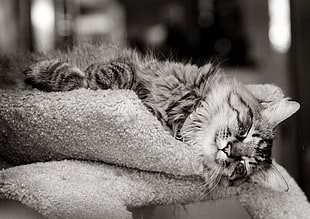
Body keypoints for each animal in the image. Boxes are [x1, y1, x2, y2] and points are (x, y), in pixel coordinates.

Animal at [21, 44, 300, 192]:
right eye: (244, 129)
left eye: (241, 166)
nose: (229, 150)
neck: (186, 114)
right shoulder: (136, 68)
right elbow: (113, 73)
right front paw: (40, 71)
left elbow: (91, 81)